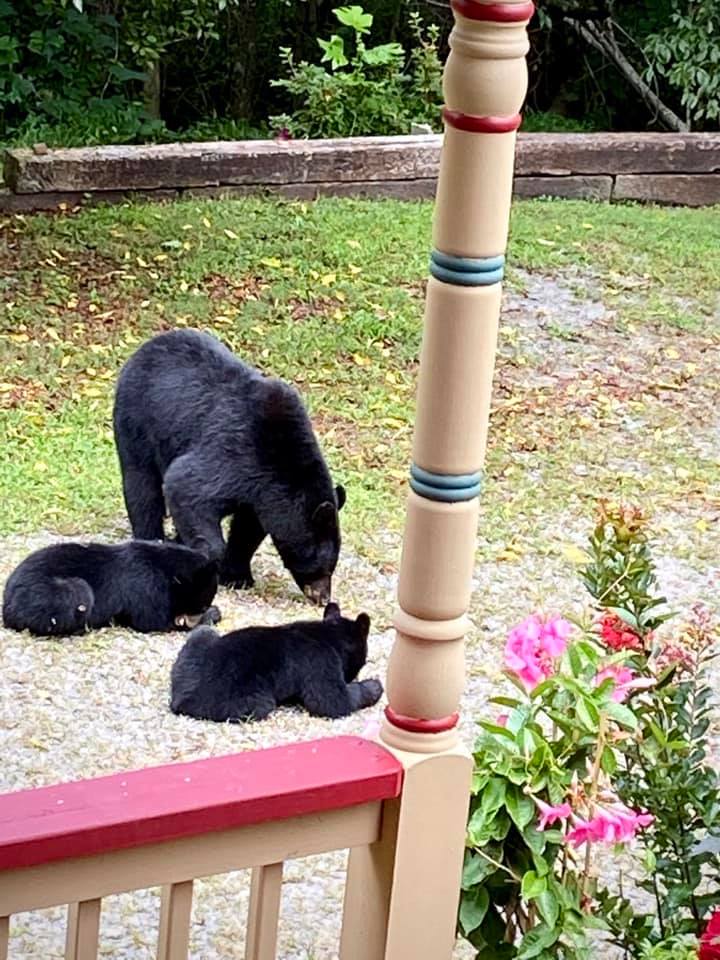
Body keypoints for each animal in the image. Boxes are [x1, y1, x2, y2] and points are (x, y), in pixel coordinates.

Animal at [2, 540, 221, 637]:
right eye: (202, 603)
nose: (200, 610)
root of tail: (7, 608)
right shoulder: (146, 584)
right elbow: (153, 622)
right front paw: (209, 616)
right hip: (47, 594)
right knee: (78, 593)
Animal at [112, 329, 345, 606]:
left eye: (332, 565)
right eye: (323, 565)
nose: (323, 598)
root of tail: (145, 347)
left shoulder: (261, 493)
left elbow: (248, 529)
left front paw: (238, 576)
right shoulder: (236, 451)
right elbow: (187, 486)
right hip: (137, 420)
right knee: (142, 485)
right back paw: (152, 540)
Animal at [169, 602, 383, 723]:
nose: (352, 676)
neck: (330, 635)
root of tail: (181, 698)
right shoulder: (322, 662)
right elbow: (333, 701)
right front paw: (375, 686)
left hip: (198, 643)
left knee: (203, 631)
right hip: (251, 701)